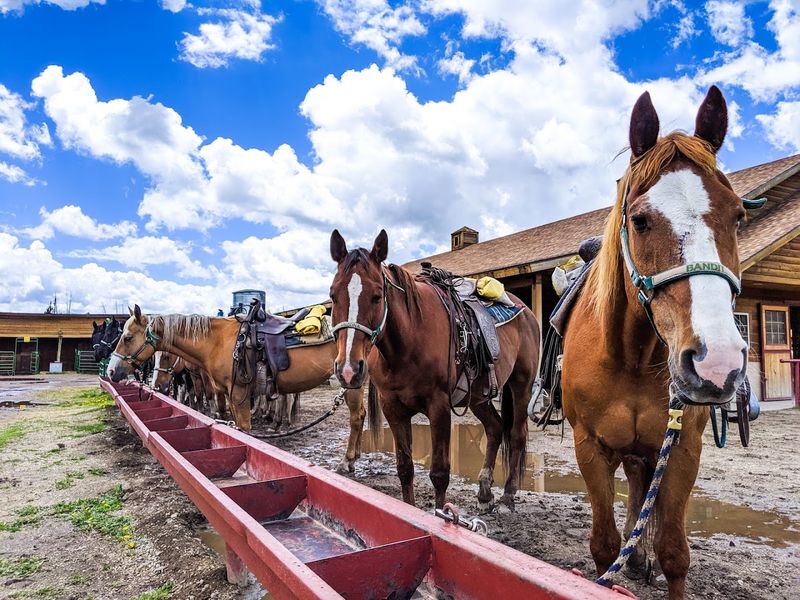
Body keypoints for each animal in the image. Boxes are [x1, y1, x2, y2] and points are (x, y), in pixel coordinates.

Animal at [107, 307, 376, 472]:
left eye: (128, 337)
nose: (111, 371)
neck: (218, 342)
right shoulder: (230, 394)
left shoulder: (238, 395)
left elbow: (245, 432)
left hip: (351, 381)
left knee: (356, 417)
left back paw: (347, 461)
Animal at [329, 230, 541, 510]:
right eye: (333, 295)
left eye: (377, 295)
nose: (349, 370)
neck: (409, 342)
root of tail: (526, 311)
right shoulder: (393, 408)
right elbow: (405, 468)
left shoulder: (438, 407)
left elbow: (440, 473)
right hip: (479, 395)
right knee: (495, 428)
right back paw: (485, 491)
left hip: (521, 384)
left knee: (516, 434)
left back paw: (508, 493)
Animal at [561, 86, 746, 598]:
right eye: (641, 220)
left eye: (739, 215)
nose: (716, 362)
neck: (633, 356)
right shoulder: (591, 448)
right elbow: (604, 546)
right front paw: (622, 556)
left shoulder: (681, 450)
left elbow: (674, 553)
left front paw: (651, 555)